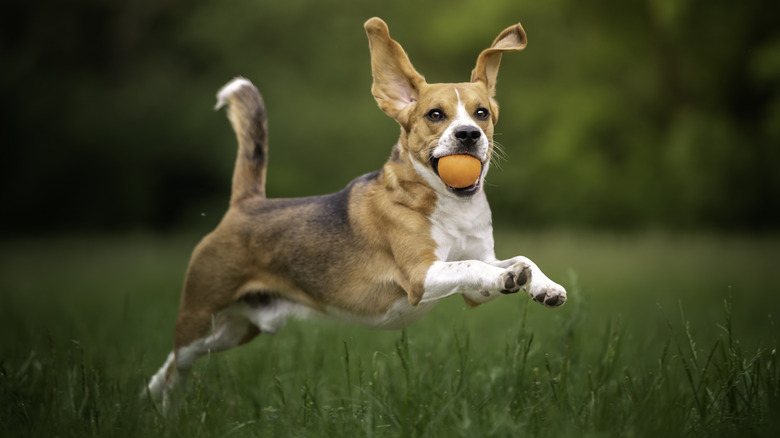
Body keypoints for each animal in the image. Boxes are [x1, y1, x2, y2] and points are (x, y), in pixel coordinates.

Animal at [143, 16, 564, 408]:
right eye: (435, 115)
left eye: (481, 113)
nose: (468, 135)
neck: (448, 204)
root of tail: (246, 205)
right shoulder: (421, 276)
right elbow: (469, 265)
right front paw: (515, 277)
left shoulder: (477, 287)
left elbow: (511, 261)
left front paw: (542, 286)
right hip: (200, 313)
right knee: (178, 365)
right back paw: (167, 412)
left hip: (236, 329)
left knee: (172, 364)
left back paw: (150, 395)